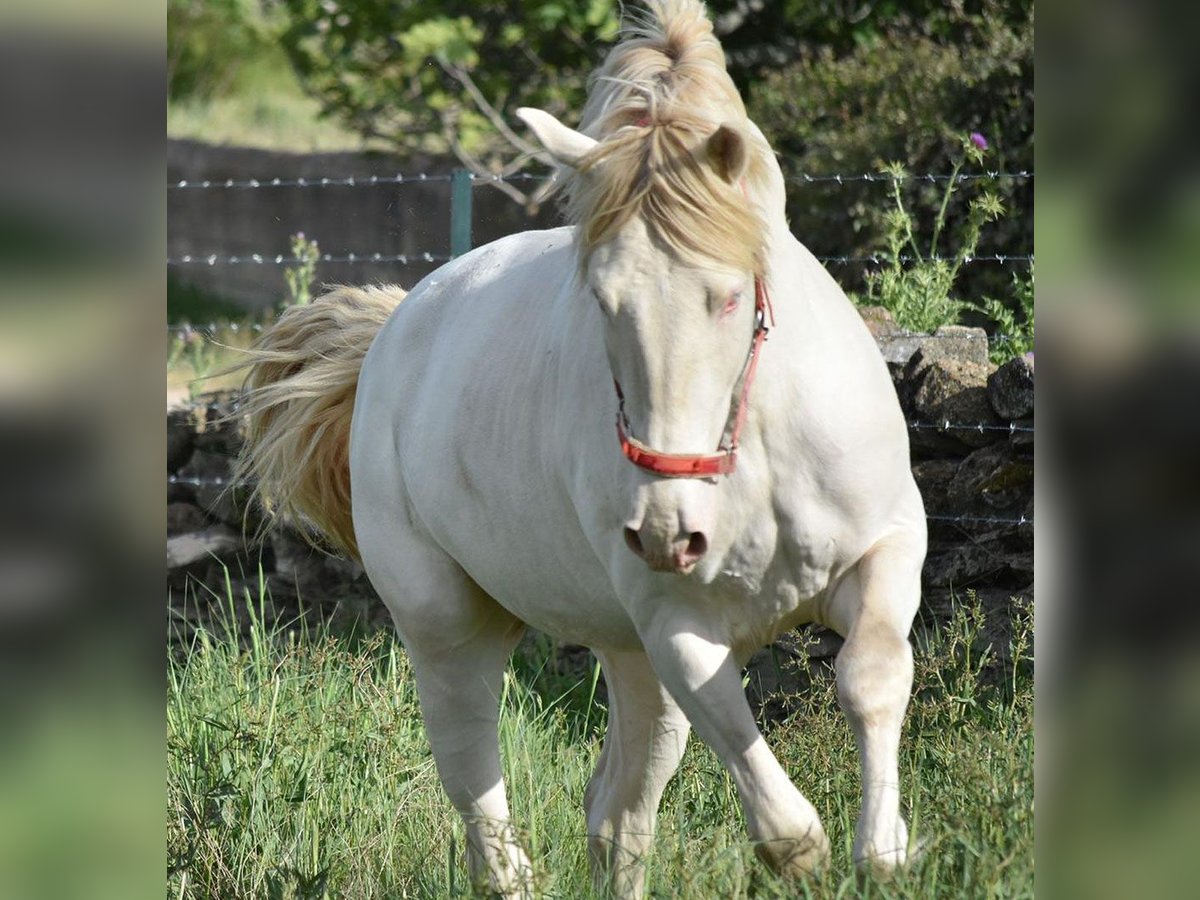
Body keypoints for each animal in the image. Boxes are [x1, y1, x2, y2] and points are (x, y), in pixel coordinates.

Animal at [236, 3, 926, 897]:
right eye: (601, 298)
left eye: (728, 296)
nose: (667, 533)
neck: (752, 450)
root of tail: (395, 325)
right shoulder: (675, 627)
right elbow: (785, 829)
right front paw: (816, 857)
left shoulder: (886, 549)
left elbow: (869, 678)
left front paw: (885, 851)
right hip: (452, 629)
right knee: (479, 786)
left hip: (623, 655)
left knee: (617, 817)